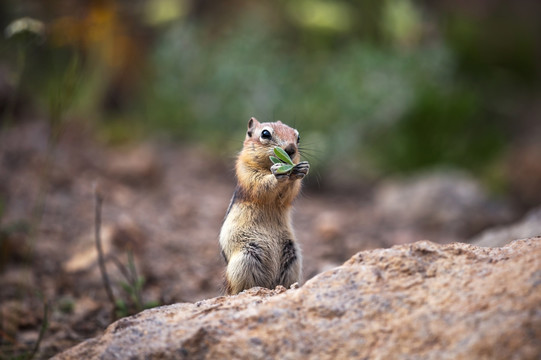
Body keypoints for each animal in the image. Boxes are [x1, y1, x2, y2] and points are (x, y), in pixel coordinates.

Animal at [219, 116, 310, 294]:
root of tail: (269, 284)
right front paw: (278, 173)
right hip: (245, 258)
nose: (291, 149)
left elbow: (288, 193)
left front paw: (301, 169)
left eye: (298, 137)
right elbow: (260, 185)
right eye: (265, 134)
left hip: (293, 258)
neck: (267, 166)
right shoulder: (246, 172)